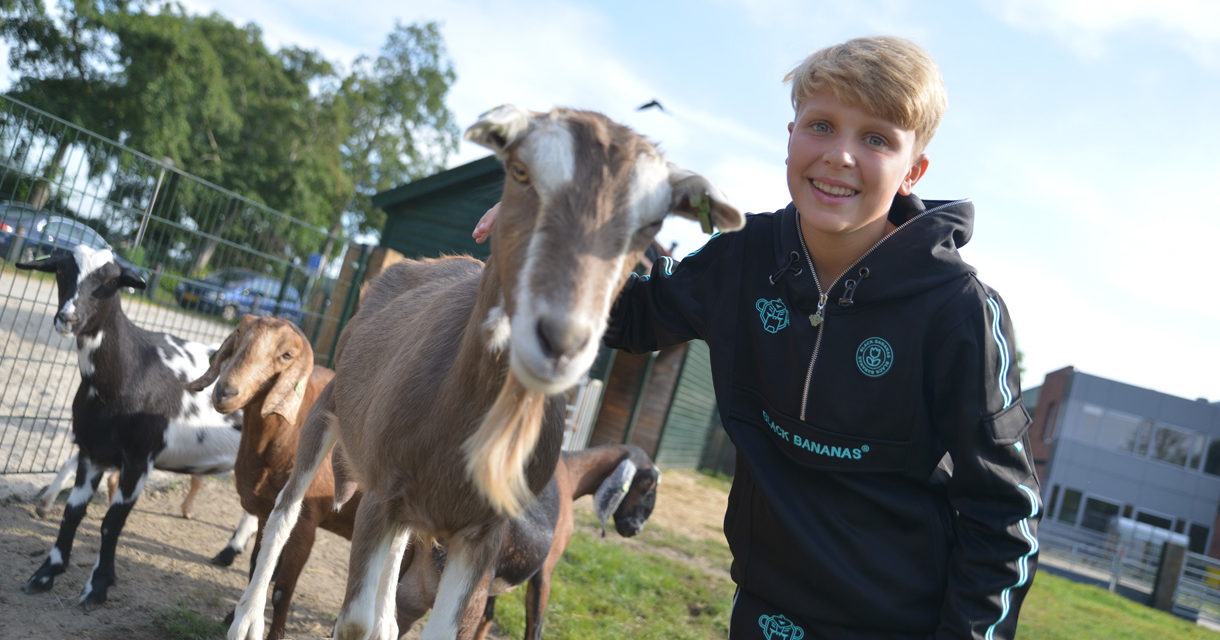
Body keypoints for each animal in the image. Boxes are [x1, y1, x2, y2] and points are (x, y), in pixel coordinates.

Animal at [16, 245, 259, 609]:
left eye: (112, 281)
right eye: (60, 271)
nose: (68, 318)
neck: (131, 370)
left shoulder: (139, 459)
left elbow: (111, 523)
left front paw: (97, 587)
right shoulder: (93, 452)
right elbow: (73, 513)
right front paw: (46, 574)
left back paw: (233, 554)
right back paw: (228, 553)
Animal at [185, 314, 351, 638]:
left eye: (286, 355)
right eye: (238, 334)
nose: (225, 392)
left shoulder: (306, 524)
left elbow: (282, 591)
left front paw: (275, 633)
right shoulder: (265, 513)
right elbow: (256, 568)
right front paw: (236, 614)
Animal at [228, 106, 741, 638]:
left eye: (653, 221)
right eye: (519, 172)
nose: (561, 339)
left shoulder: (483, 535)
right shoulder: (381, 496)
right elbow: (351, 621)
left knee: (396, 557)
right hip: (328, 417)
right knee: (284, 514)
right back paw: (246, 619)